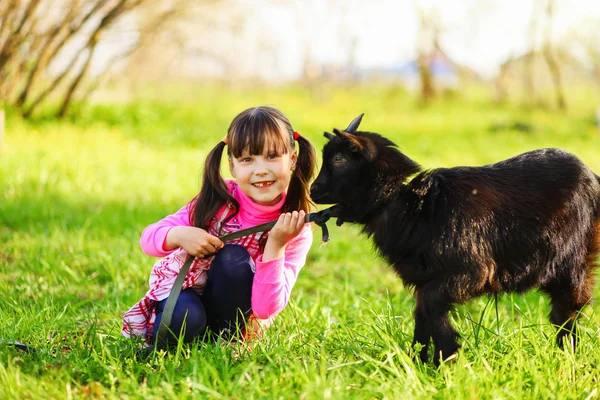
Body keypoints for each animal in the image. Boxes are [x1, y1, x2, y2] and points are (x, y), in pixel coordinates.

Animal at [310, 116, 600, 366]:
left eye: (339, 159)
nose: (313, 190)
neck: (413, 203)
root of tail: (592, 178)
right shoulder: (424, 278)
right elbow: (422, 316)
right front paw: (419, 361)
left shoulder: (473, 271)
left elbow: (431, 307)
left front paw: (448, 357)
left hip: (573, 262)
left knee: (567, 312)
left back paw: (568, 358)